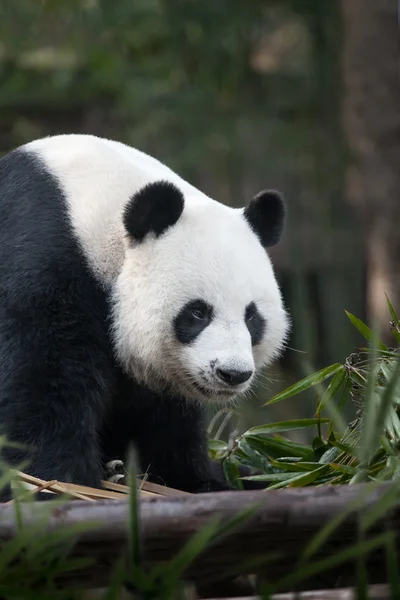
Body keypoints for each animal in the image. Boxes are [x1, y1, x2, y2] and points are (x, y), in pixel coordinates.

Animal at [0, 136, 290, 496]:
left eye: (252, 317)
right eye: (197, 312)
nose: (232, 373)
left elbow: (165, 416)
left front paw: (201, 480)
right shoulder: (41, 253)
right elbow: (44, 378)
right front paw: (61, 480)